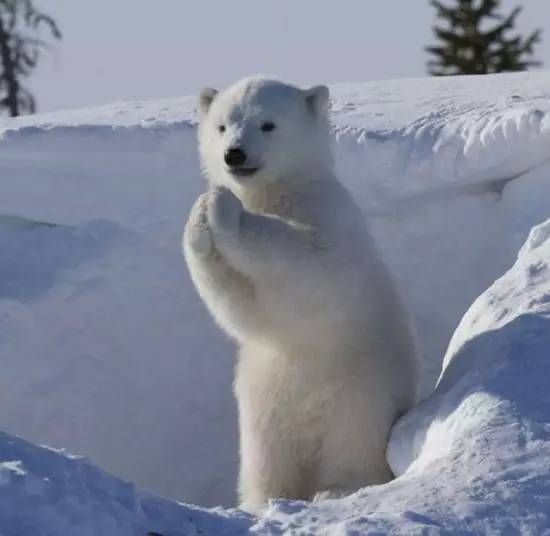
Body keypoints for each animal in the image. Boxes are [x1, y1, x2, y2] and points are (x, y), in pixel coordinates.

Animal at [183, 76, 420, 516]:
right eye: (223, 125)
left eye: (268, 124)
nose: (234, 154)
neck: (280, 191)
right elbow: (241, 306)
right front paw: (201, 217)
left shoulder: (330, 218)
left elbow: (308, 263)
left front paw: (224, 209)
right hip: (264, 405)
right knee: (266, 459)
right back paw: (265, 501)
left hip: (360, 392)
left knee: (353, 443)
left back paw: (337, 489)